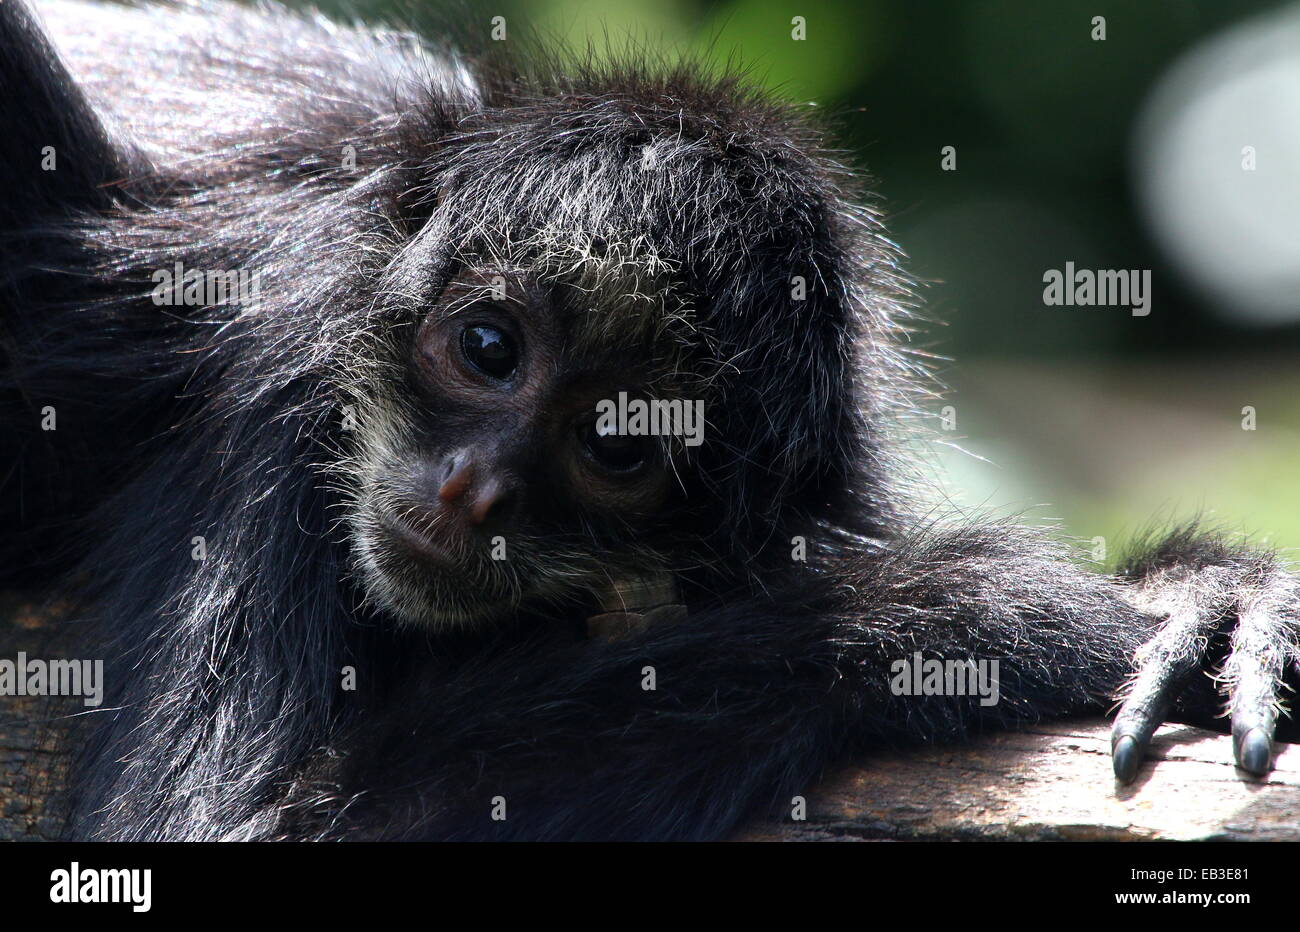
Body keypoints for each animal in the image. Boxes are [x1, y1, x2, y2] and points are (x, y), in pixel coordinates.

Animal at [0, 0, 1294, 842]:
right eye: (487, 347)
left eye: (614, 443)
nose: (470, 486)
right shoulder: (287, 381)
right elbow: (215, 825)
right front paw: (995, 605)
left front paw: (1209, 596)